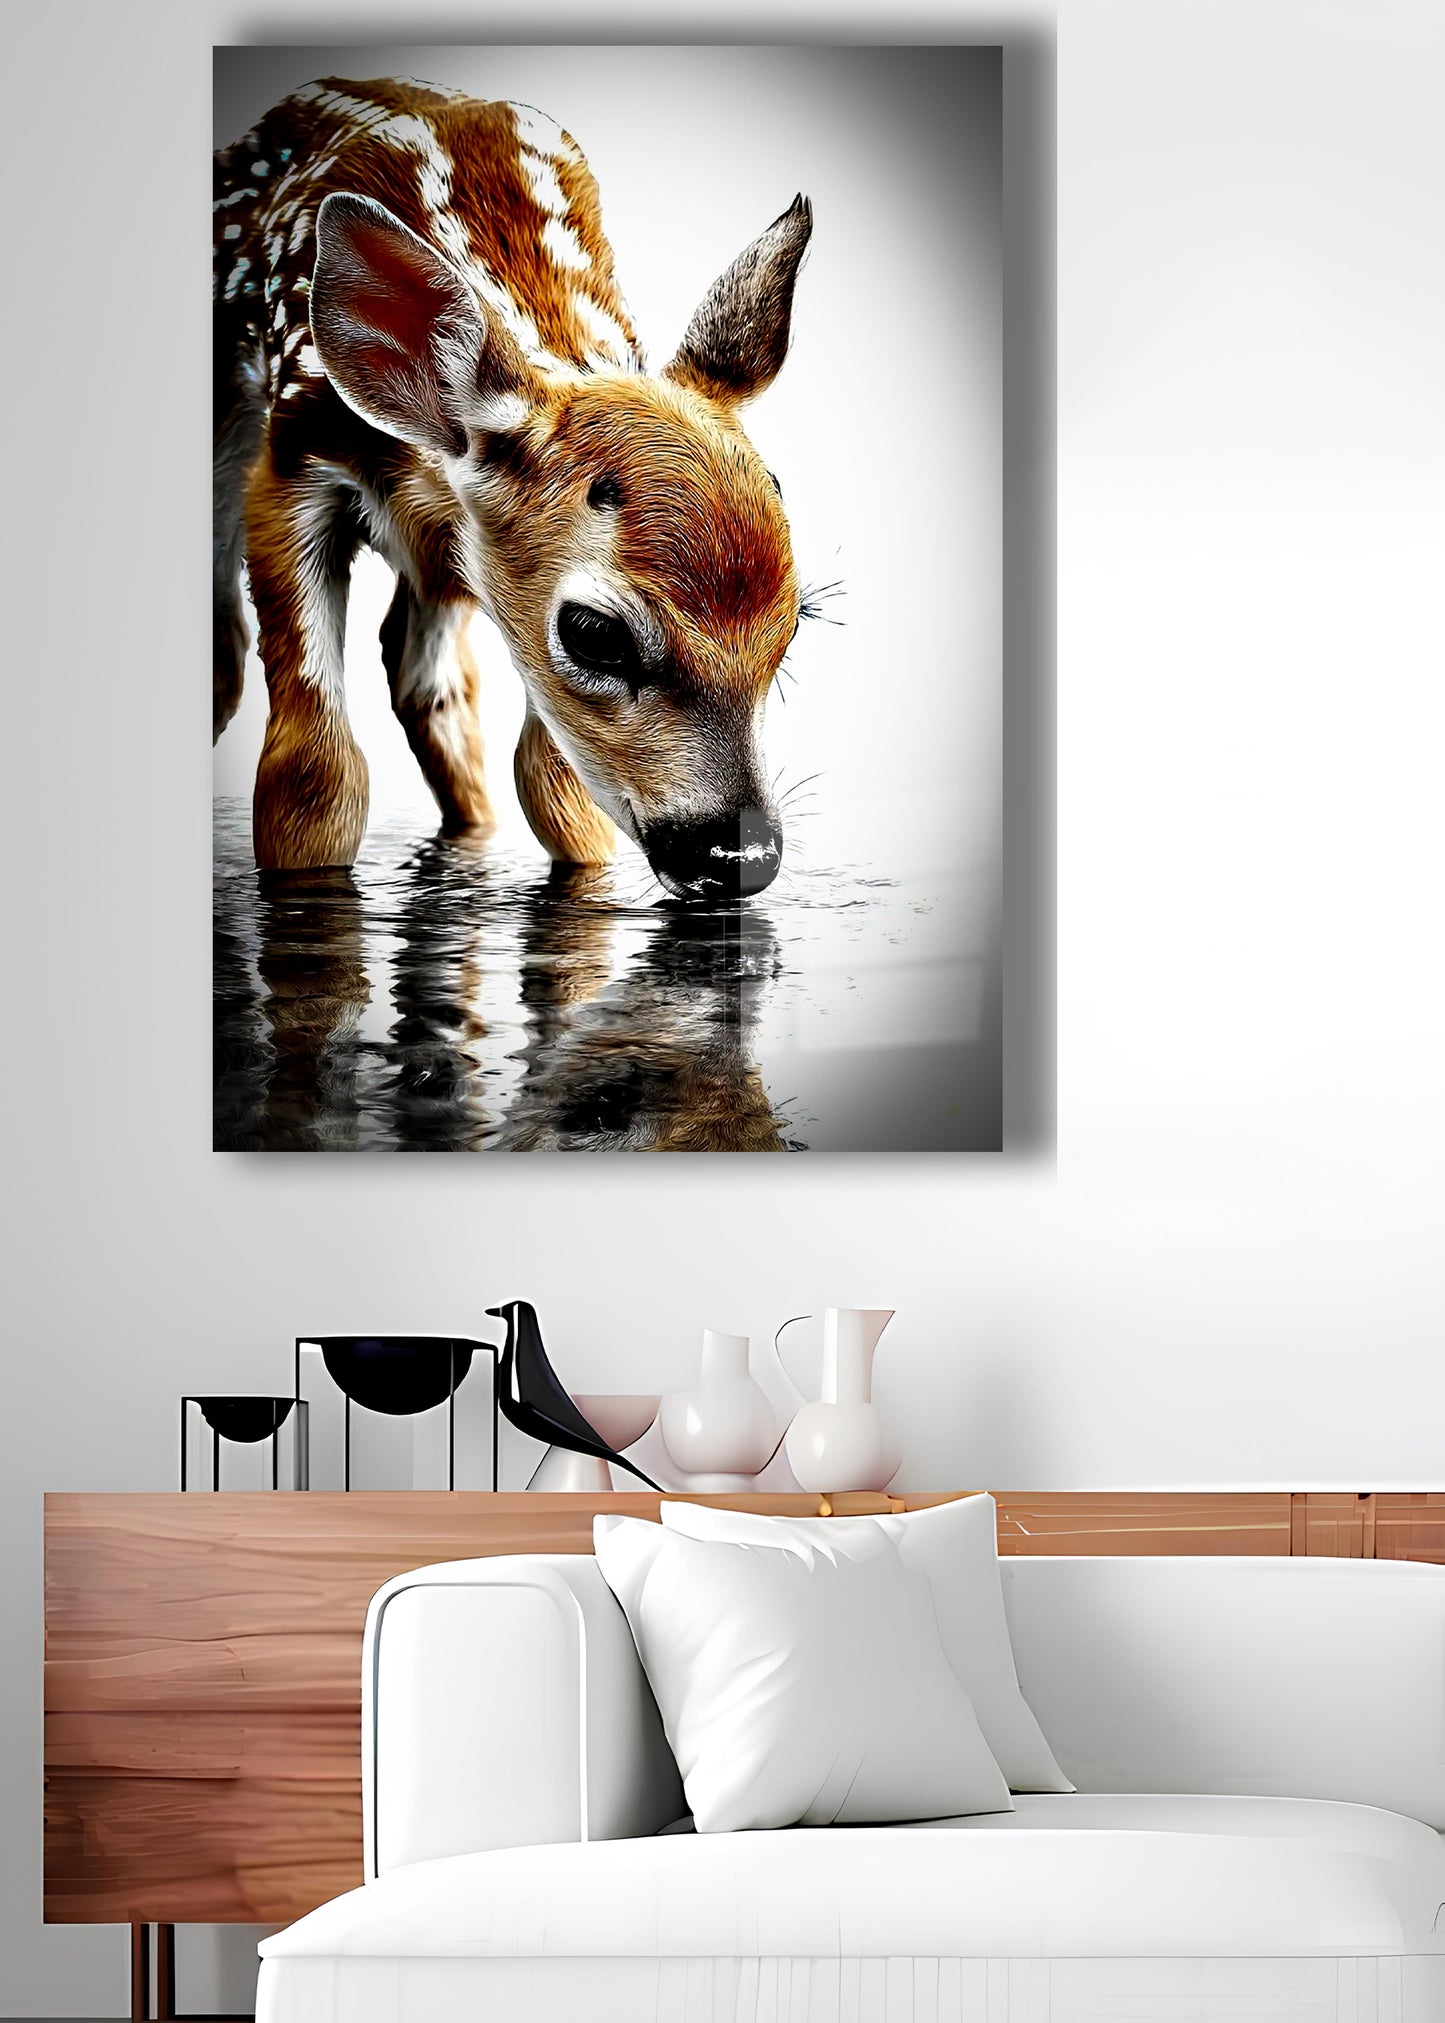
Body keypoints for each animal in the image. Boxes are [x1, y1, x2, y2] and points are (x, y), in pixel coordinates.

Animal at [214, 76, 812, 902]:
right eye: (595, 634)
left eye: (793, 624)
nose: (740, 854)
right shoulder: (294, 460)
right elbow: (312, 779)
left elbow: (555, 788)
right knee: (231, 655)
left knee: (424, 680)